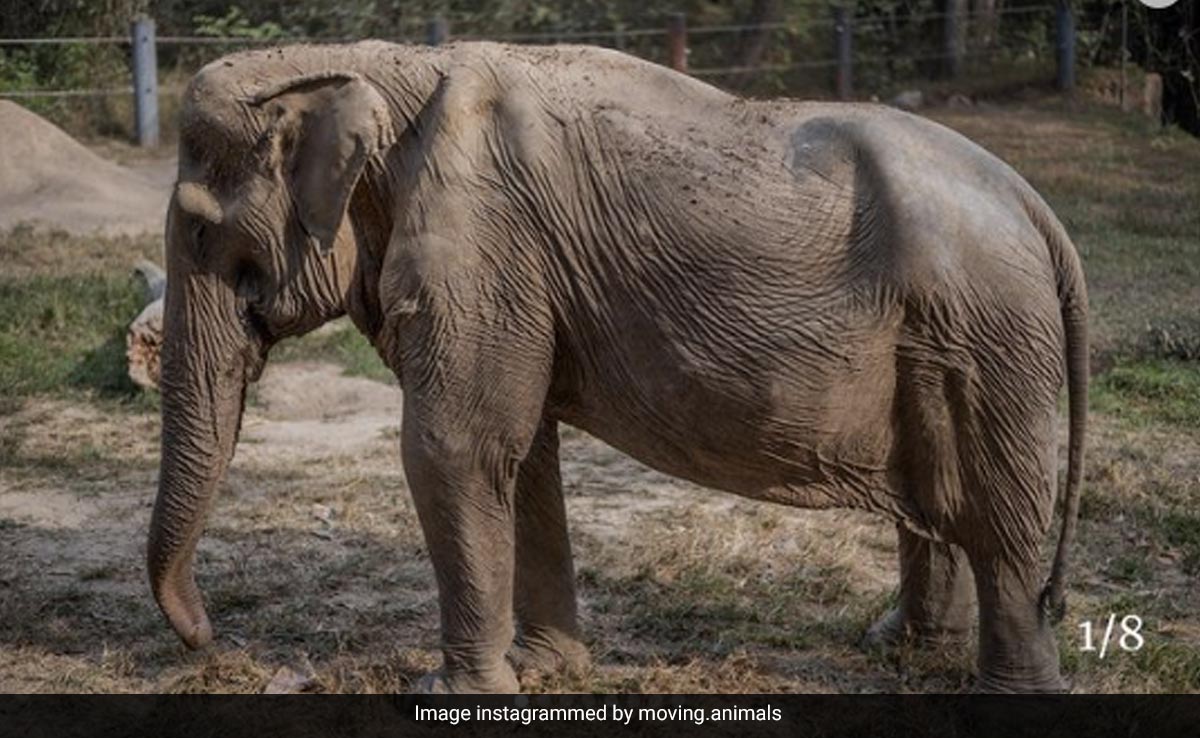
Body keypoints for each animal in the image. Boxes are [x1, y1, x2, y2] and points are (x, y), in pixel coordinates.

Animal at [147, 40, 1087, 694]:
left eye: (198, 230)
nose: (211, 640)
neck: (379, 67)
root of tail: (1040, 212)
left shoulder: (484, 244)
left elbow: (455, 448)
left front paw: (453, 692)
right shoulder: (517, 273)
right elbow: (521, 455)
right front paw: (546, 672)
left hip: (989, 338)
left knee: (998, 517)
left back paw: (1006, 690)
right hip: (950, 339)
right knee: (941, 499)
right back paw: (899, 650)